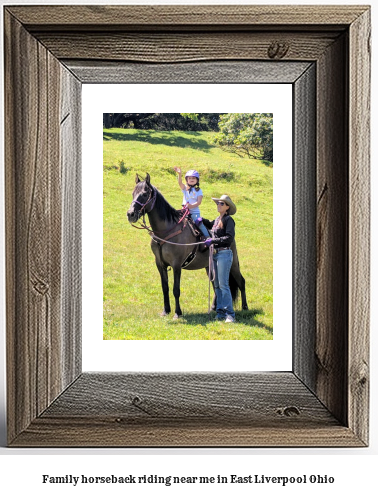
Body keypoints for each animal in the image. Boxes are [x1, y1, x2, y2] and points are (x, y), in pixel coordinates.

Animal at [127, 174, 248, 318]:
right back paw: (214, 307)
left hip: (233, 264)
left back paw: (245, 307)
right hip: (210, 266)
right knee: (215, 285)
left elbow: (176, 289)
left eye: (145, 194)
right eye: (133, 193)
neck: (167, 231)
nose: (130, 214)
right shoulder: (160, 264)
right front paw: (166, 310)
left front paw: (177, 313)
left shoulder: (176, 265)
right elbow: (165, 288)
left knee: (241, 281)